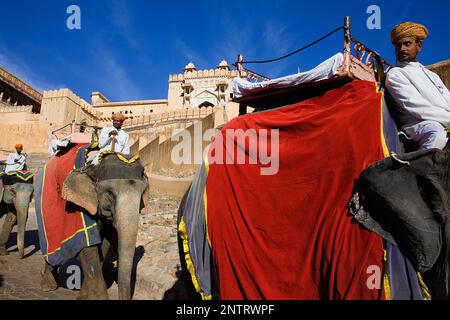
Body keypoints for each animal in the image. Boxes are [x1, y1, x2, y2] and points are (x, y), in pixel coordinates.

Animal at [39, 153, 149, 300]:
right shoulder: (79, 207)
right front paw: (96, 297)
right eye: (109, 193)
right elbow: (88, 243)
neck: (94, 167)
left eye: (142, 193)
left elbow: (104, 243)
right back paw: (47, 287)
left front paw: (84, 295)